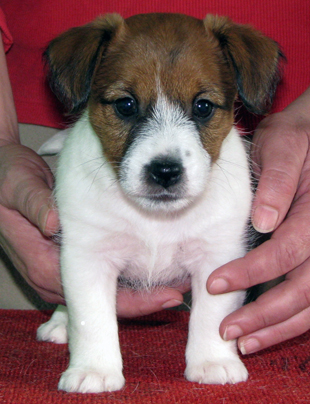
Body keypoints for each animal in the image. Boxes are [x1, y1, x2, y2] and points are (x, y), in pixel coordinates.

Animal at [36, 13, 280, 394]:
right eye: (126, 105)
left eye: (202, 107)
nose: (165, 171)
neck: (155, 219)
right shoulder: (87, 257)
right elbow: (90, 317)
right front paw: (94, 369)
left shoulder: (218, 259)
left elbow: (212, 315)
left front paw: (212, 361)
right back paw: (59, 323)